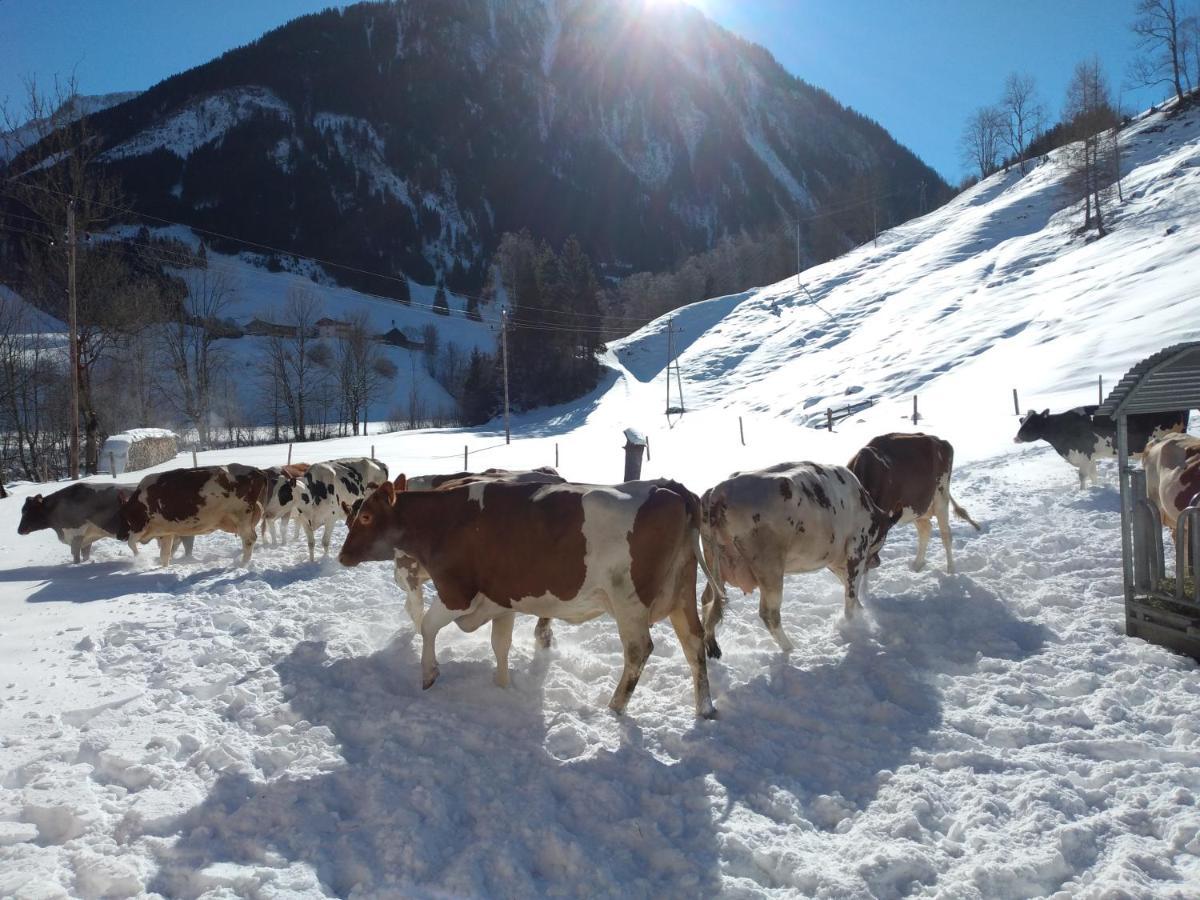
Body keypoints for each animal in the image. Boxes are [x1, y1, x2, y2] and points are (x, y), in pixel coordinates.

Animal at [117, 468, 267, 566]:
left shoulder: (139, 526)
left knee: (249, 539)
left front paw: (140, 559)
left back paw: (243, 564)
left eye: (122, 518)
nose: (119, 536)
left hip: (241, 517)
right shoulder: (165, 532)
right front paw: (164, 567)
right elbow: (164, 554)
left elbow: (131, 543)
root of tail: (256, 472)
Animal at [336, 480, 710, 720]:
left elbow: (427, 627)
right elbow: (500, 645)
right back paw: (704, 708)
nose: (342, 555)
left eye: (366, 516)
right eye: (351, 515)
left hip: (629, 600)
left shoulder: (457, 592)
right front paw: (502, 686)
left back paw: (615, 707)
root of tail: (669, 489)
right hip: (682, 590)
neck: (444, 520)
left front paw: (429, 674)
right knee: (694, 641)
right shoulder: (501, 600)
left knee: (638, 650)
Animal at [700, 460, 897, 657]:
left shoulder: (836, 561)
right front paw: (854, 624)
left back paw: (712, 645)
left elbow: (851, 590)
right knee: (769, 614)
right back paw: (791, 649)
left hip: (715, 565)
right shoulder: (857, 548)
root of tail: (719, 492)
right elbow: (850, 595)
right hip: (769, 569)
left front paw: (862, 610)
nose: (878, 561)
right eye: (884, 533)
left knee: (707, 600)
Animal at [849, 434, 979, 573]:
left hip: (941, 496)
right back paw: (917, 565)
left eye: (880, 537)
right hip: (917, 507)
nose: (875, 562)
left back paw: (951, 569)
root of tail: (938, 439)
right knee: (926, 529)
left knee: (946, 534)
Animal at [1012, 408, 1190, 489]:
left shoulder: (1083, 453)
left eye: (1031, 423)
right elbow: (1093, 474)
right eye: (1022, 421)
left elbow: (1082, 475)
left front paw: (1082, 492)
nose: (1015, 438)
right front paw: (1095, 487)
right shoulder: (1090, 456)